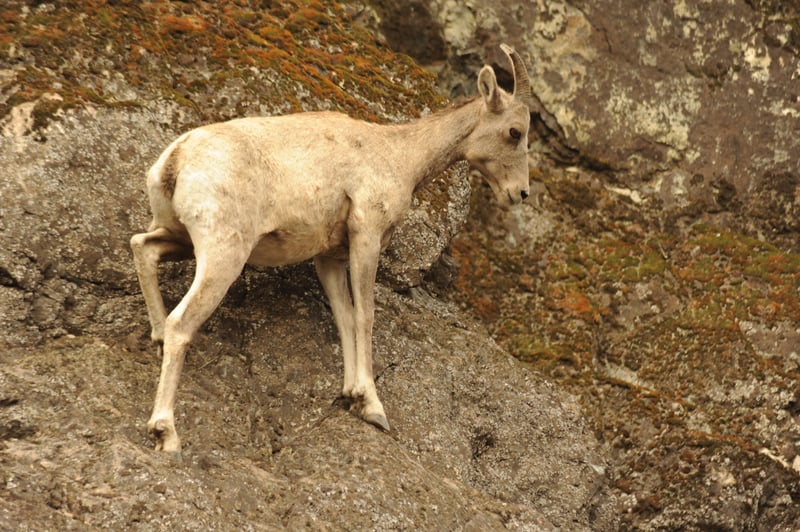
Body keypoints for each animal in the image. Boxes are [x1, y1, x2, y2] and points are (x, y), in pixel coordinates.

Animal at [130, 43, 532, 453]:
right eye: (515, 132)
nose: (520, 193)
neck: (399, 155)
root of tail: (176, 159)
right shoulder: (366, 236)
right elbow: (366, 315)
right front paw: (373, 407)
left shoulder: (330, 258)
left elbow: (345, 316)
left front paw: (354, 396)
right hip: (223, 256)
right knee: (182, 323)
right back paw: (166, 432)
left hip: (179, 237)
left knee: (142, 247)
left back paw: (157, 336)